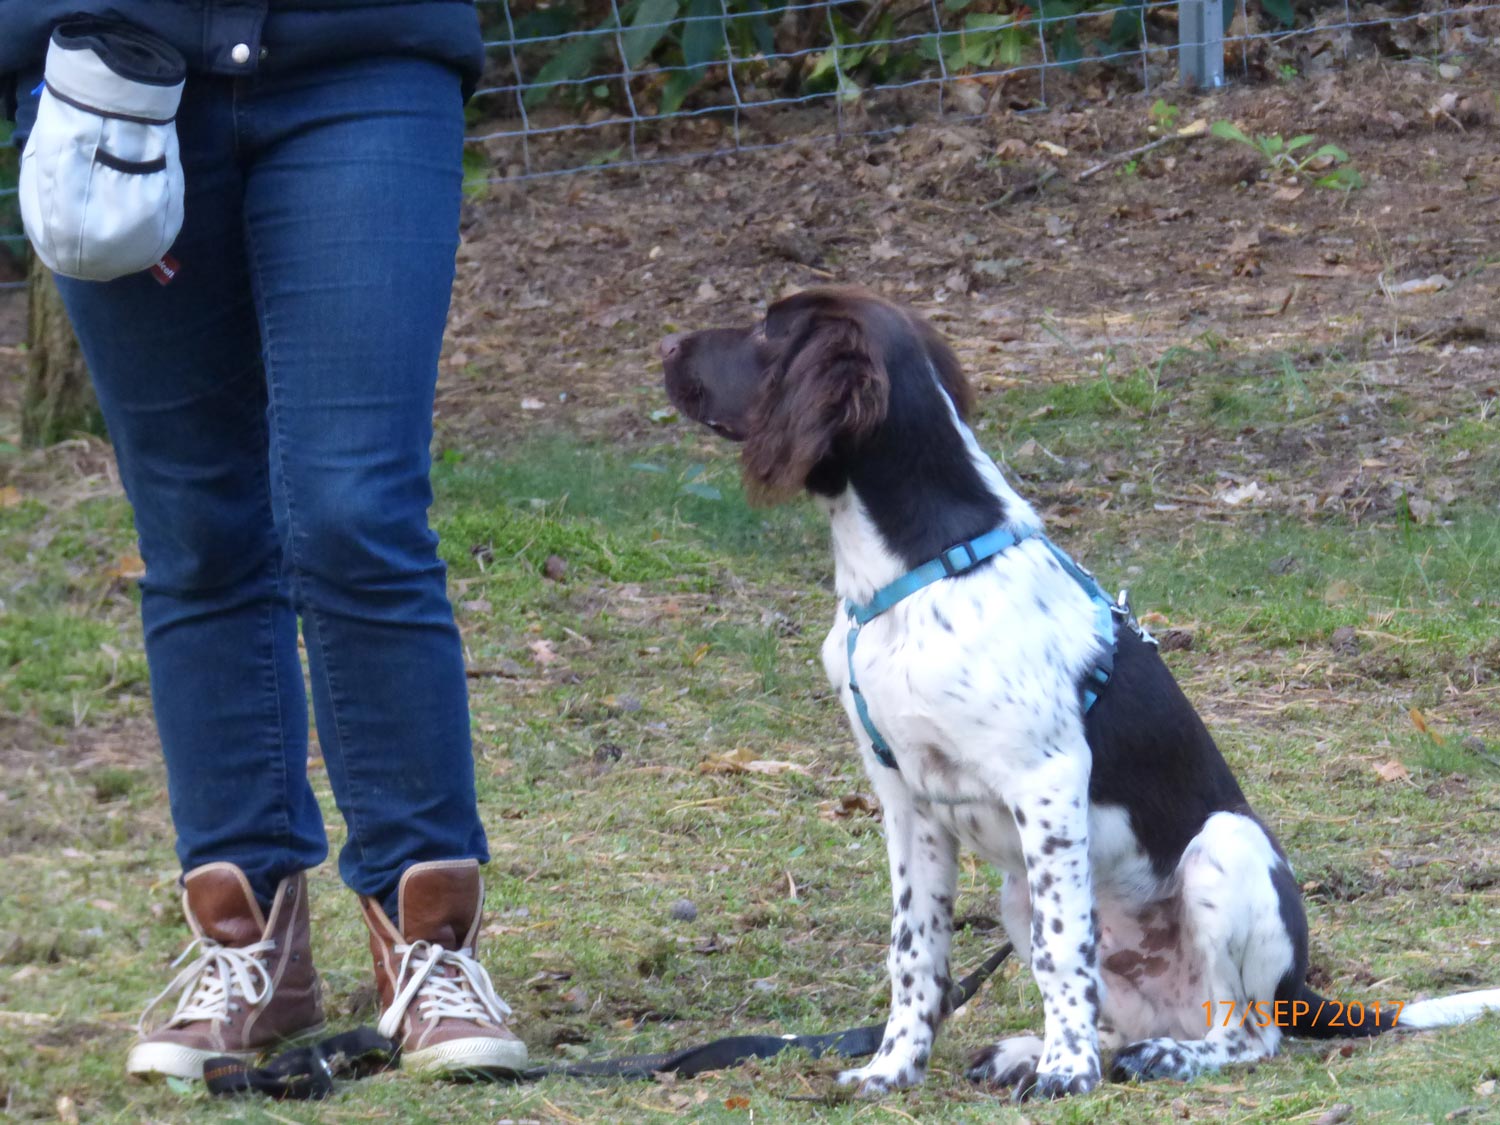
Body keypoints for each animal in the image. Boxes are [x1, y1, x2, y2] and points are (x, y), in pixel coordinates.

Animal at [660, 287, 1500, 1099]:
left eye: (768, 329)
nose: (667, 345)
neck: (919, 568)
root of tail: (1302, 989)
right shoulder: (905, 798)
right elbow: (916, 951)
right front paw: (893, 1068)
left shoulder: (1048, 777)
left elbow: (1062, 950)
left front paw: (1068, 1073)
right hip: (1019, 893)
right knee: (1119, 1007)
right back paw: (1034, 1050)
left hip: (1226, 846)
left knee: (1245, 1032)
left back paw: (1157, 1056)